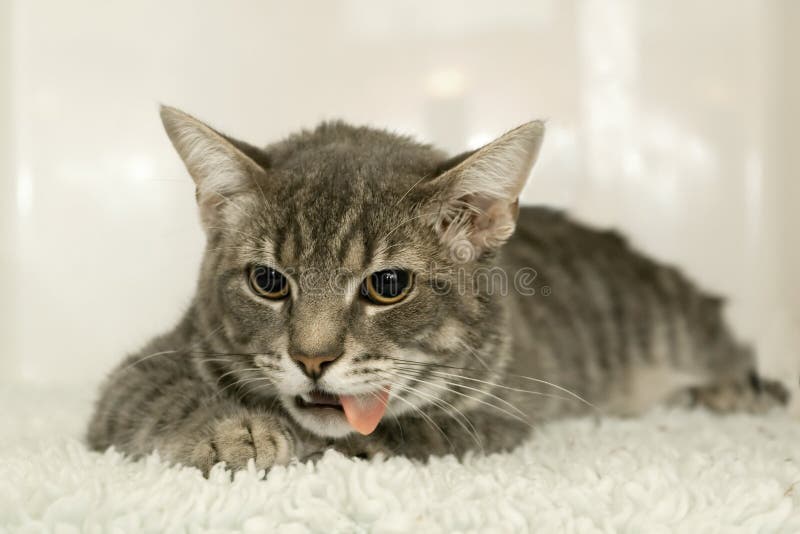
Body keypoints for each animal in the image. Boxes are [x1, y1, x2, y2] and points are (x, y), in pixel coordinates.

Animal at [87, 107, 788, 476]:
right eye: (268, 282)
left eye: (387, 285)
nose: (312, 359)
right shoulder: (138, 369)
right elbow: (160, 392)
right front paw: (235, 431)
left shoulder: (502, 416)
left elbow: (410, 433)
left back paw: (731, 390)